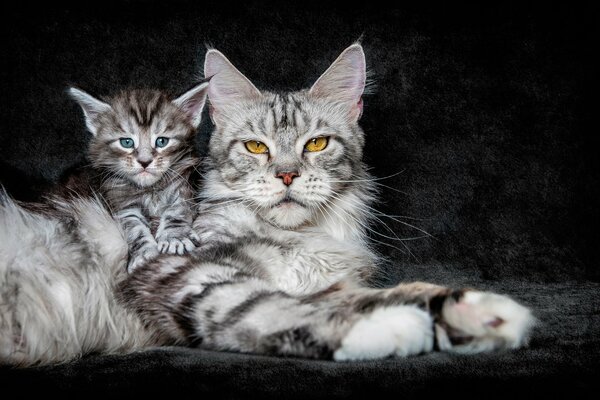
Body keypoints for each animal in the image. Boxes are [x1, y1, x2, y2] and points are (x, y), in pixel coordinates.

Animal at [67, 84, 207, 272]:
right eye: (126, 142)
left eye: (162, 141)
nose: (144, 161)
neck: (150, 189)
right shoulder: (121, 204)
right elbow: (134, 228)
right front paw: (143, 253)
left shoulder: (183, 187)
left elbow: (176, 211)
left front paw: (174, 237)